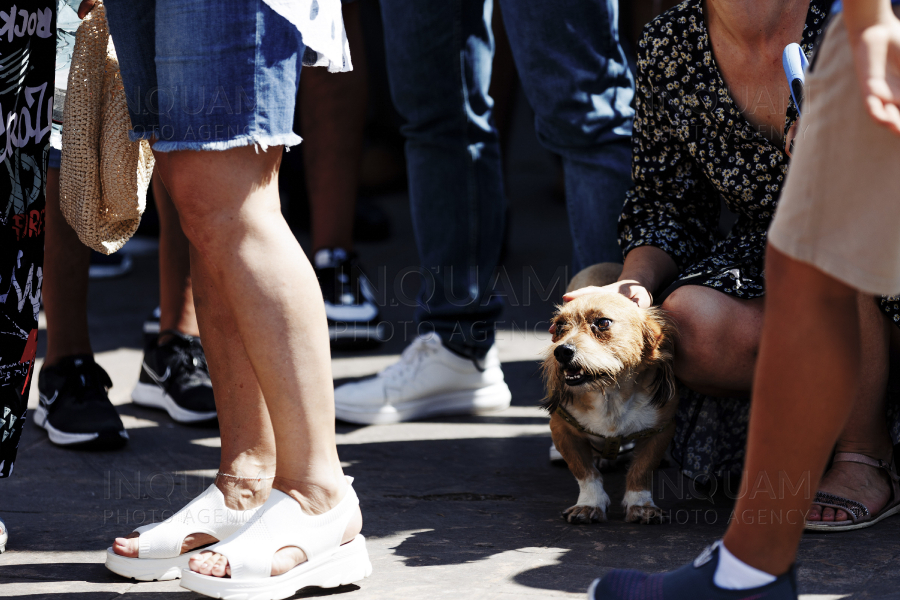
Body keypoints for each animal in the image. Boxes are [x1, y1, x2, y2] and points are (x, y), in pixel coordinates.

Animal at [540, 264, 676, 524]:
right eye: (559, 326)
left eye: (602, 322)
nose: (561, 351)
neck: (610, 394)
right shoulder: (562, 430)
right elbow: (585, 473)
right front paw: (590, 504)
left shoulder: (659, 431)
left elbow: (642, 470)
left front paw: (641, 504)